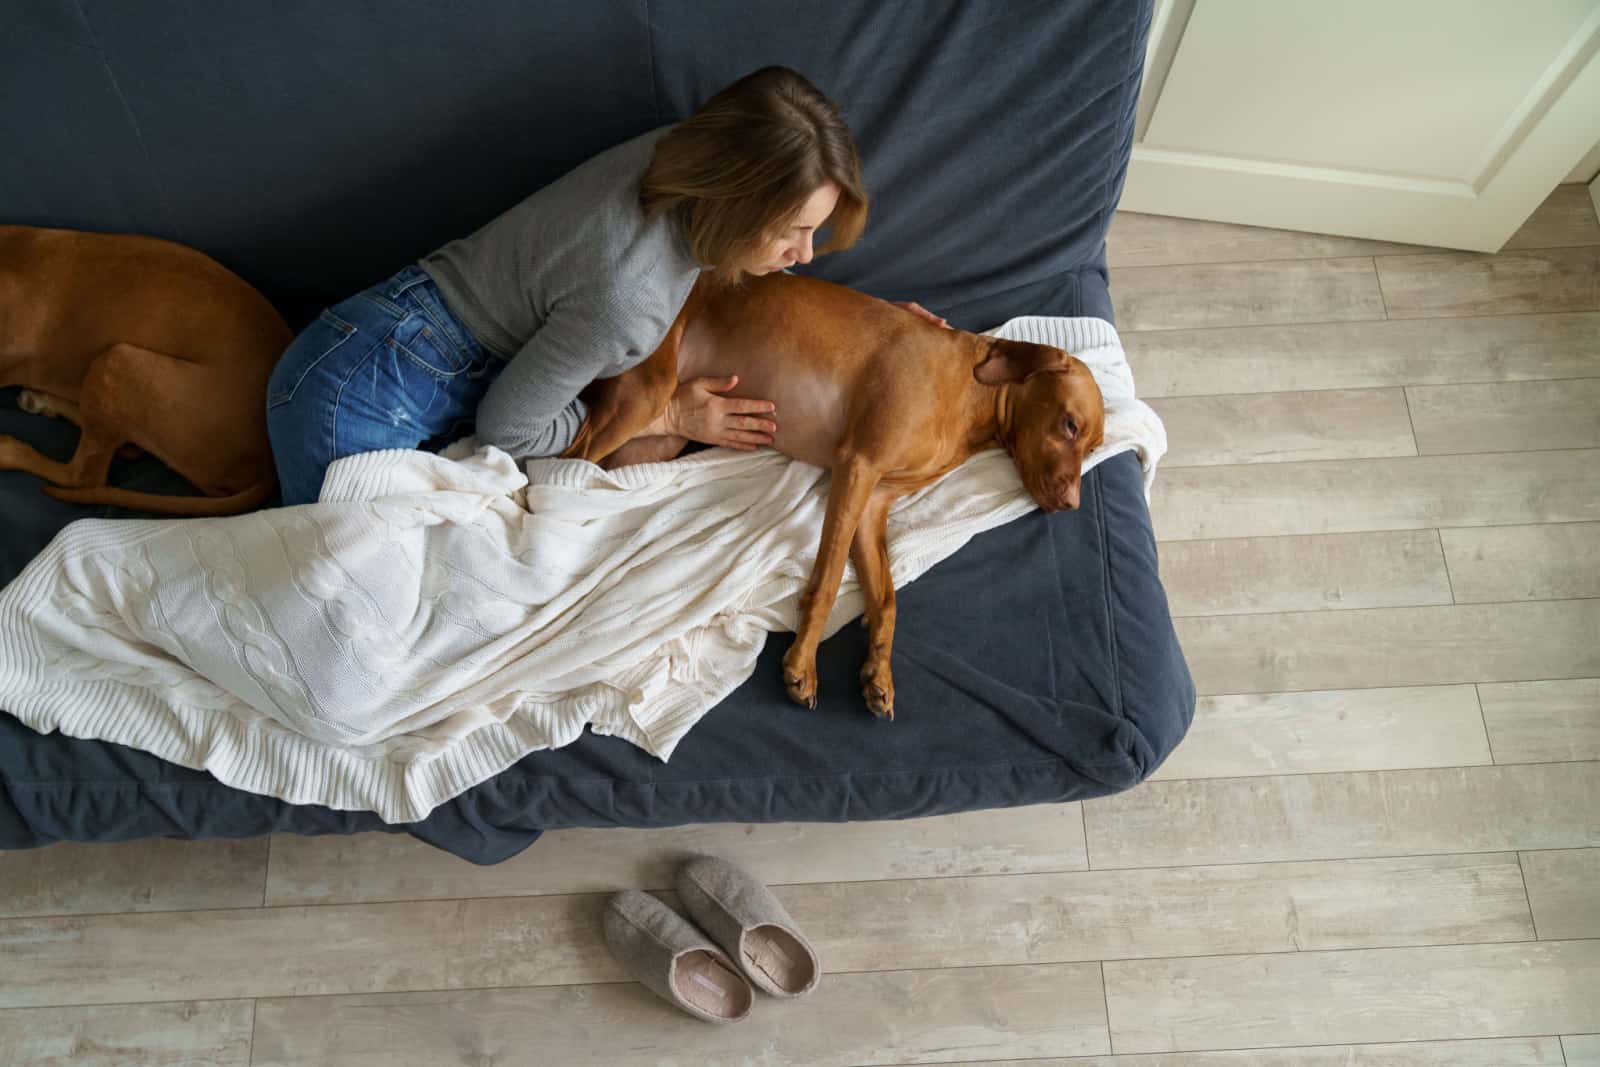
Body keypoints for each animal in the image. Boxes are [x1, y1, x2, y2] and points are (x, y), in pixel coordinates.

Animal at [1, 225, 288, 518]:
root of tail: (267, 468)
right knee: (126, 447)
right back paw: (42, 402)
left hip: (117, 362)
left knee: (85, 475)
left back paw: (9, 448)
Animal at [563, 271, 1100, 723]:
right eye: (1069, 425)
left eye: (1092, 446)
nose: (1072, 505)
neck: (970, 398)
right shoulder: (857, 467)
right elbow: (825, 580)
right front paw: (802, 664)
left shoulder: (873, 503)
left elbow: (886, 601)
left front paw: (878, 674)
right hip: (643, 398)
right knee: (561, 463)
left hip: (655, 439)